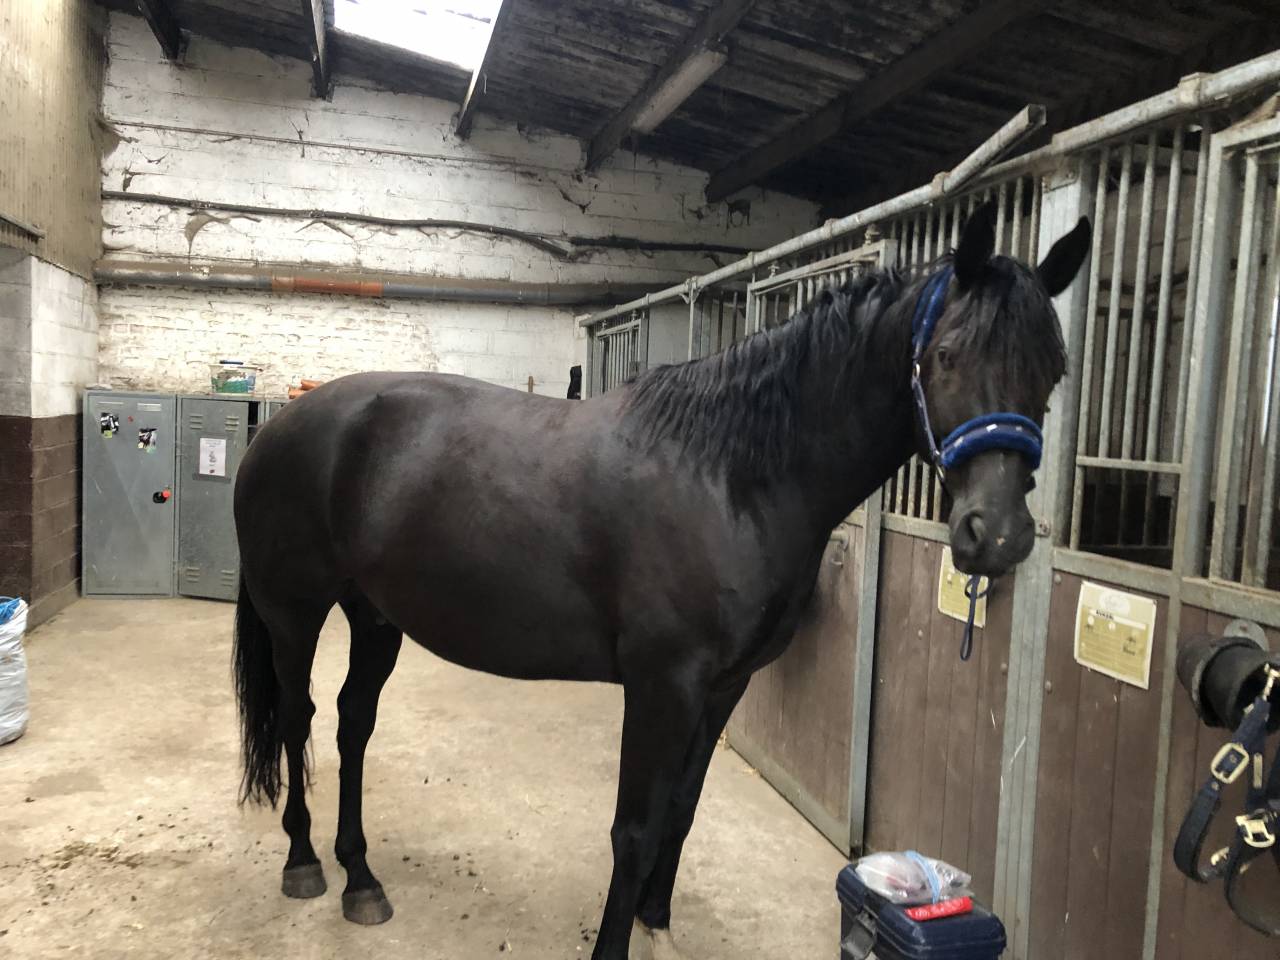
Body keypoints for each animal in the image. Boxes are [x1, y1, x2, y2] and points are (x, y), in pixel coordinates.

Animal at [231, 202, 1091, 960]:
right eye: (947, 356)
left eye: (1054, 369)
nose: (997, 535)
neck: (730, 477)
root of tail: (277, 426)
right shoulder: (662, 685)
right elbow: (635, 828)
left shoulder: (724, 687)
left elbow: (681, 809)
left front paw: (656, 917)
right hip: (295, 614)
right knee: (300, 718)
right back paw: (305, 864)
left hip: (375, 616)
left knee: (353, 724)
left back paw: (361, 878)